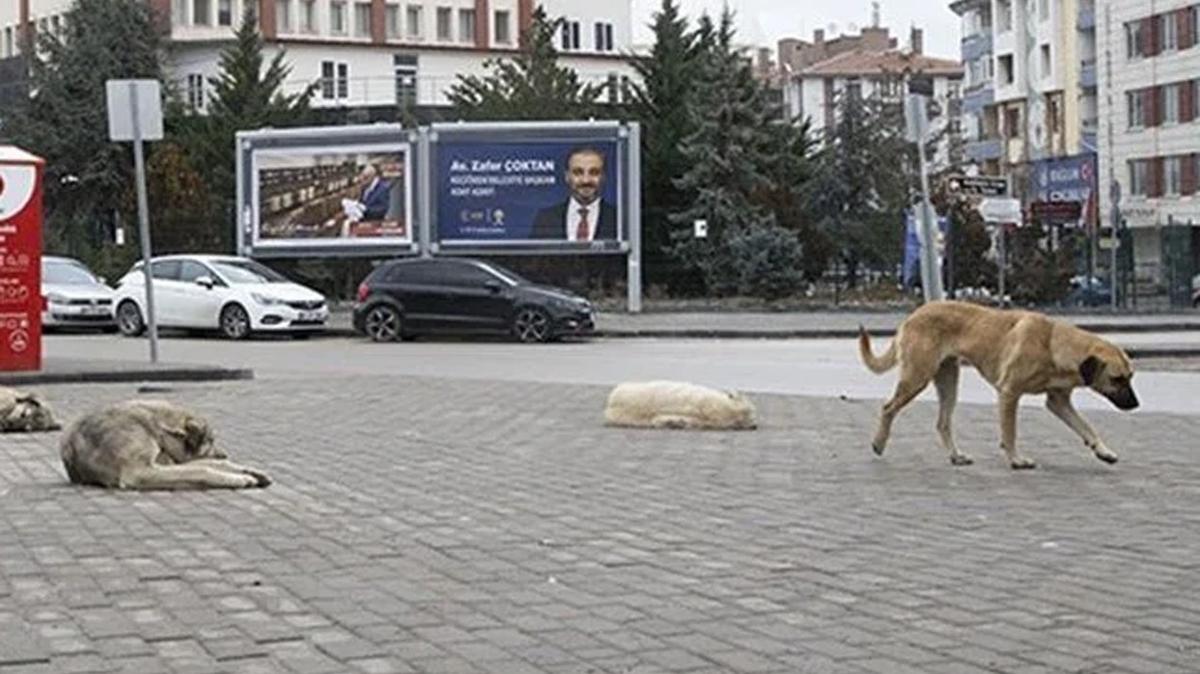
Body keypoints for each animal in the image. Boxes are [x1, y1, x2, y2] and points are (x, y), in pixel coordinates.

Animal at [61, 398, 272, 486]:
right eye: (210, 440)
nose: (225, 454)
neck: (154, 428)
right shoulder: (139, 472)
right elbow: (200, 469)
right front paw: (240, 478)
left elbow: (208, 464)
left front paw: (250, 471)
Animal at [864, 302, 1132, 470]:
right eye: (1117, 378)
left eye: (1130, 376)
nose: (1135, 404)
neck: (1053, 344)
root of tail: (913, 315)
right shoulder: (1009, 393)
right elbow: (1010, 432)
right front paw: (1016, 460)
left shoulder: (1058, 402)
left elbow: (1086, 427)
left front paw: (1103, 451)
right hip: (917, 377)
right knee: (888, 408)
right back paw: (878, 443)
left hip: (948, 381)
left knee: (942, 423)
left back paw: (956, 456)